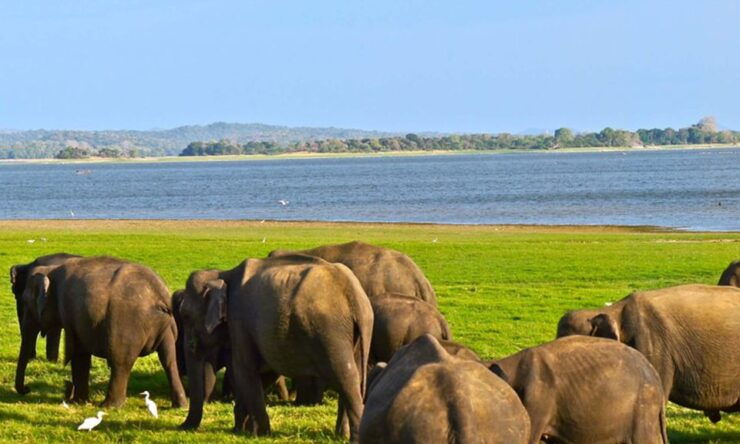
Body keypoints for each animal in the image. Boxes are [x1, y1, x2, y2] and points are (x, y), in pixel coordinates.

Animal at [16, 256, 187, 408]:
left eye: (25, 302)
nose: (27, 389)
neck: (51, 269)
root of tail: (160, 294)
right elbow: (81, 354)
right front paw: (80, 401)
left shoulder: (69, 311)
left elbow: (78, 353)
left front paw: (77, 402)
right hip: (167, 326)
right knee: (169, 359)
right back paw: (180, 405)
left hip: (127, 325)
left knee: (120, 362)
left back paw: (109, 406)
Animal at [178, 254, 373, 442]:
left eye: (185, 316)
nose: (181, 427)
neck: (222, 274)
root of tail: (354, 295)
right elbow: (265, 373)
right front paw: (241, 430)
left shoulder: (239, 321)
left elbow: (245, 371)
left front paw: (260, 434)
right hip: (356, 334)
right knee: (354, 375)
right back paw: (342, 435)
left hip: (330, 330)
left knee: (346, 378)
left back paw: (355, 437)